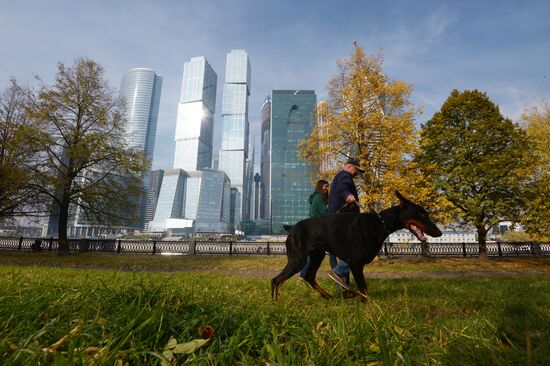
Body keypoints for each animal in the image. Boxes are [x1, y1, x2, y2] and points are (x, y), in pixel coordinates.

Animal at [272, 190, 444, 302]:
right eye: (420, 214)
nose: (439, 232)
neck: (380, 223)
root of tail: (291, 228)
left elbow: (362, 290)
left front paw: (350, 295)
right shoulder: (355, 263)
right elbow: (364, 290)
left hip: (317, 255)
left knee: (309, 276)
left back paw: (328, 296)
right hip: (297, 260)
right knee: (276, 280)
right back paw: (275, 304)